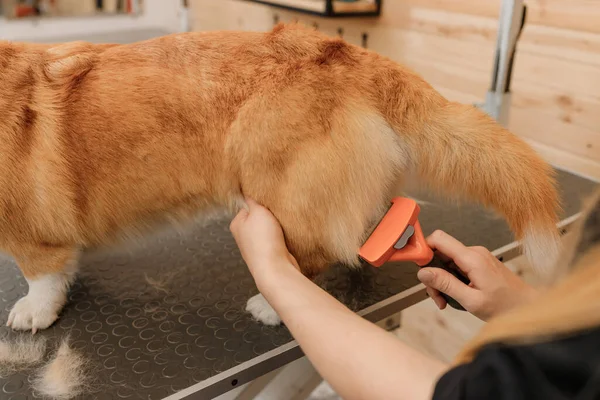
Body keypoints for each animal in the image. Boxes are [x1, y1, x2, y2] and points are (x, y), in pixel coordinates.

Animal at [0, 23, 564, 332]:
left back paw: (270, 307)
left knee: (307, 260)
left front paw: (33, 313)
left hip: (281, 195)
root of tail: (352, 56)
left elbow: (42, 278)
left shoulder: (29, 237)